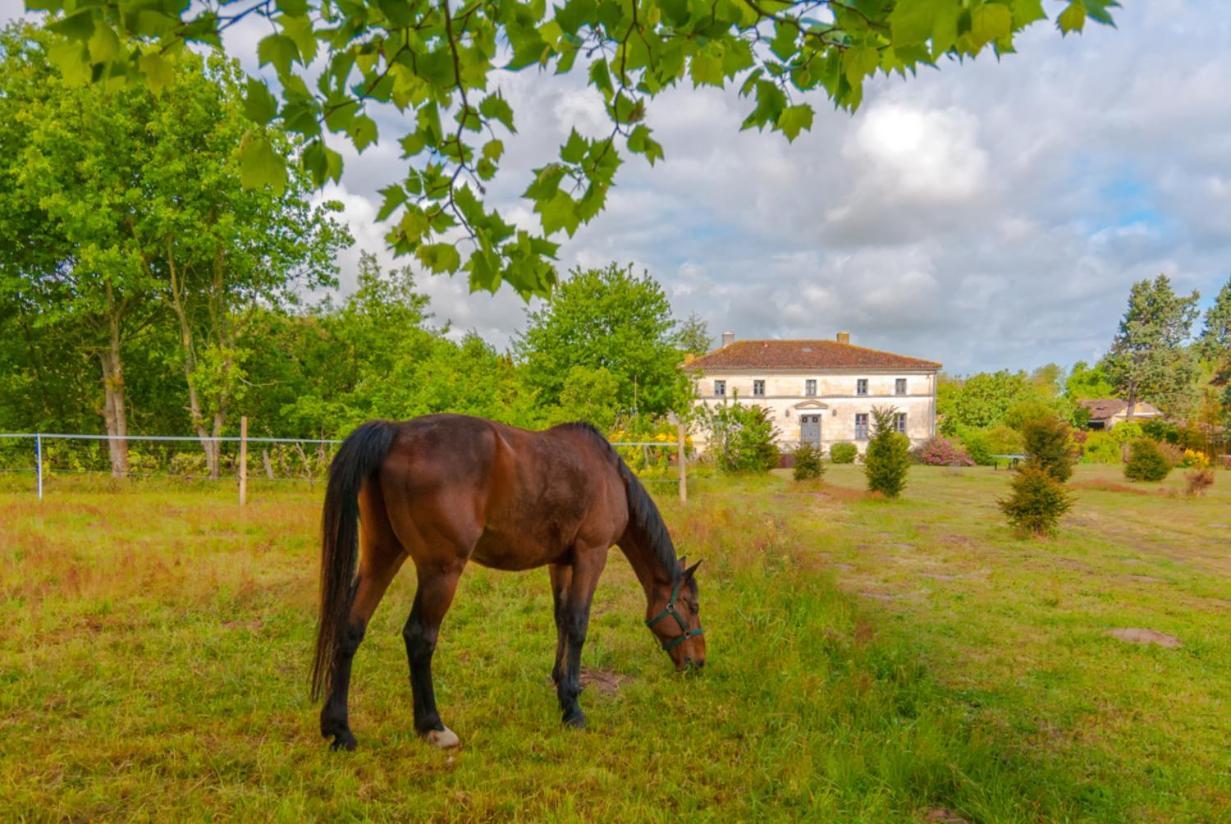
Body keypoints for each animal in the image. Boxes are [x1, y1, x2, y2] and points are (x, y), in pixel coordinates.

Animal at [312, 413, 709, 748]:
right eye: (692, 606)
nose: (699, 663)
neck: (611, 477)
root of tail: (396, 432)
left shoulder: (561, 563)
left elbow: (561, 620)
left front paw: (561, 685)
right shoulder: (591, 555)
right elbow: (578, 624)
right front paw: (573, 709)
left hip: (382, 556)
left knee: (350, 627)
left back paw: (339, 730)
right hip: (440, 571)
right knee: (419, 637)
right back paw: (432, 726)